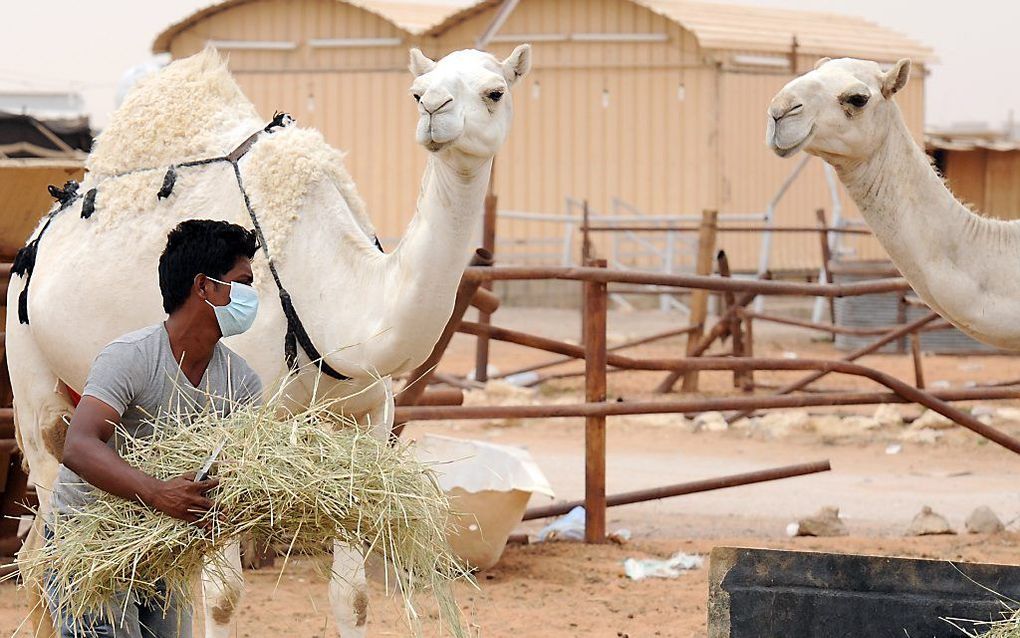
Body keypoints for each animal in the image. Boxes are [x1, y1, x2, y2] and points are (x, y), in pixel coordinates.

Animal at [7, 42, 534, 632]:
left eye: (496, 91)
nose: (436, 112)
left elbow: (353, 597)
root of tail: (36, 237)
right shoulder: (230, 429)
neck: (341, 301)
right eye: (417, 92)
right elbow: (223, 595)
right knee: (54, 534)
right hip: (33, 382)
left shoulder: (368, 423)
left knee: (49, 555)